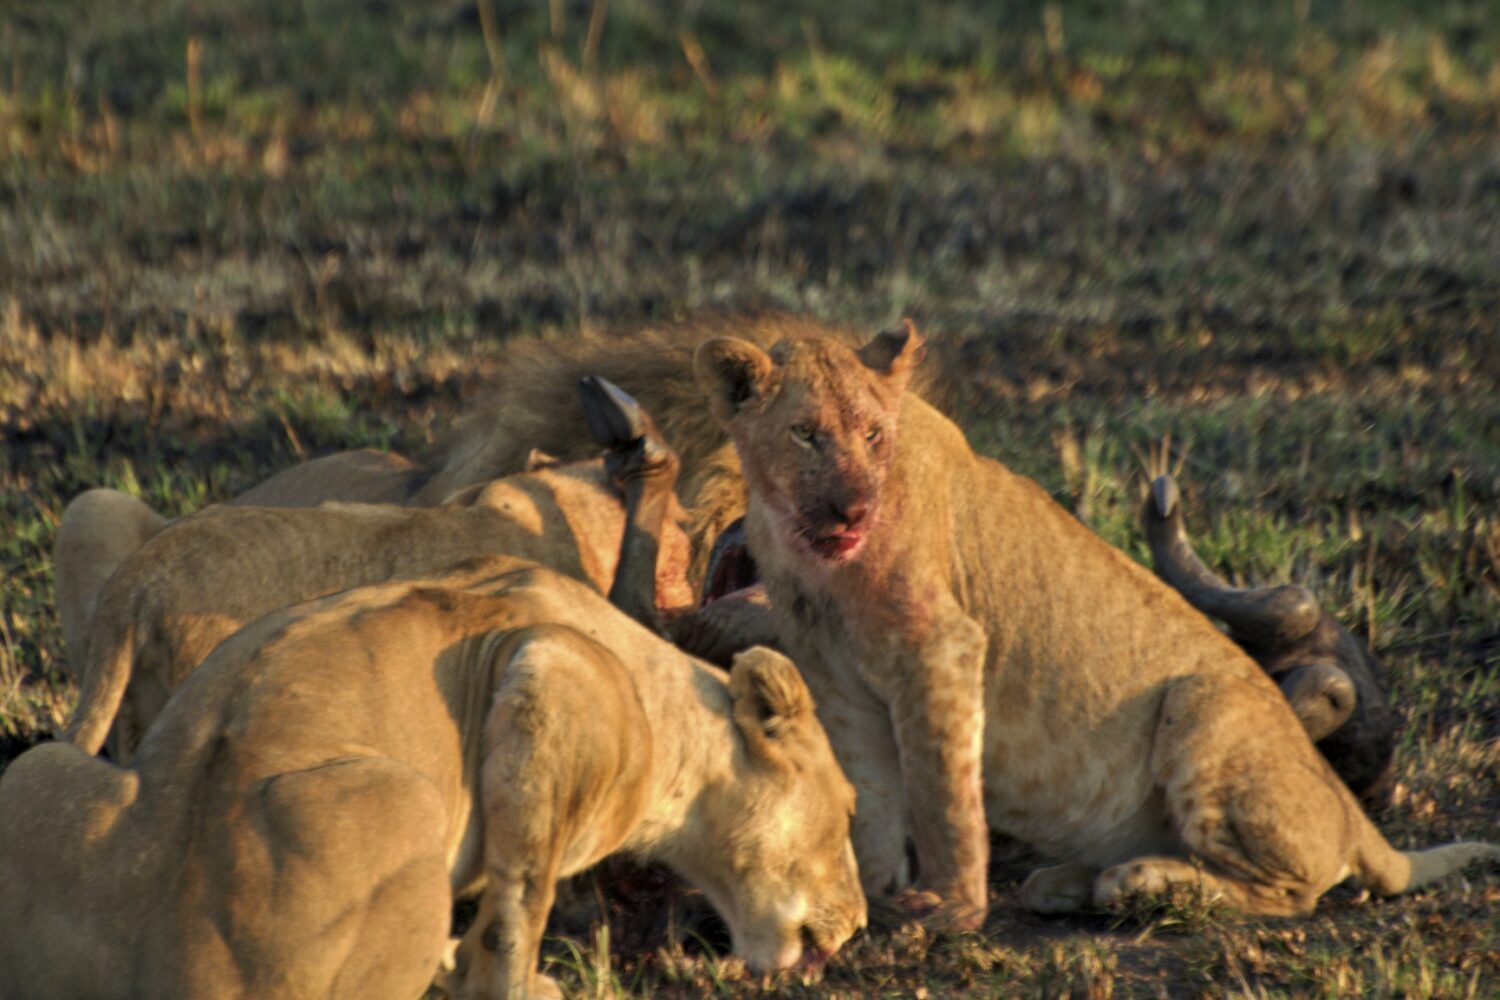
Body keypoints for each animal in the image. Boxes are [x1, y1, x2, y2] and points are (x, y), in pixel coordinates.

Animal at [0, 553, 867, 1000]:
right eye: (852, 810)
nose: (859, 924)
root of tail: (176, 963)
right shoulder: (549, 670)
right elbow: (520, 908)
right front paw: (516, 984)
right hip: (411, 797)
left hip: (38, 768)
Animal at [684, 322, 1497, 927]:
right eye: (805, 435)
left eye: (875, 436)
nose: (853, 508)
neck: (812, 552)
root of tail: (1354, 814)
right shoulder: (837, 677)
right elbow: (870, 793)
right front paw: (870, 904)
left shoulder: (940, 647)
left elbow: (939, 789)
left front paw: (948, 910)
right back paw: (1071, 881)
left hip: (1201, 701)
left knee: (1290, 892)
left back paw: (1135, 883)